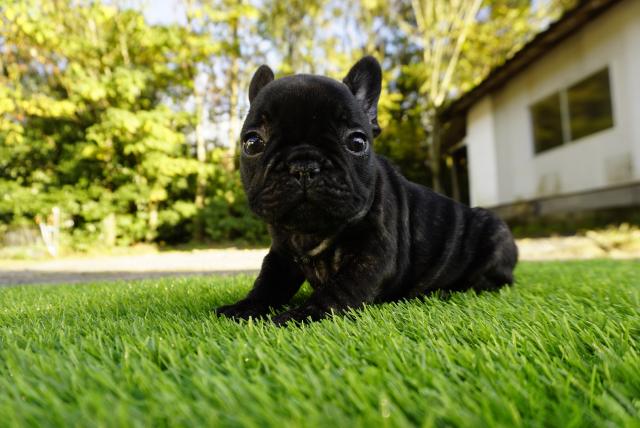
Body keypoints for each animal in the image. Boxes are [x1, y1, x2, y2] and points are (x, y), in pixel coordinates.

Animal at [217, 56, 518, 325]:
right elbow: (268, 282)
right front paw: (246, 306)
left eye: (357, 142)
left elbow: (339, 290)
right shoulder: (280, 255)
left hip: (495, 235)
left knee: (491, 281)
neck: (311, 232)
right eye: (253, 143)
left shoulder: (373, 255)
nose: (304, 166)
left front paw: (302, 315)